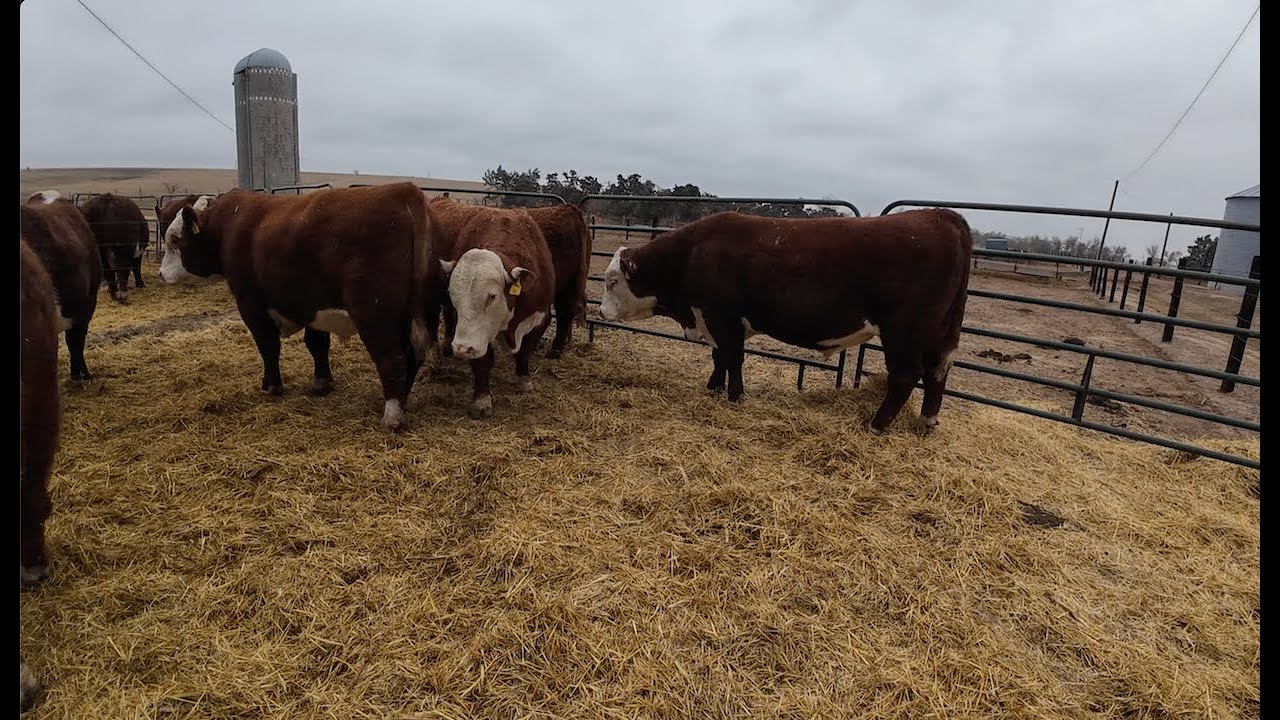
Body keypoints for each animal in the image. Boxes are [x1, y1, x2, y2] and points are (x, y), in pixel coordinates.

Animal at [158, 183, 441, 431]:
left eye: (175, 239)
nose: (161, 273)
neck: (228, 226)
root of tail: (403, 190)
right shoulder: (311, 304)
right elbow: (317, 344)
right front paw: (321, 382)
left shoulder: (250, 303)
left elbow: (268, 346)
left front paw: (271, 385)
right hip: (422, 312)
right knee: (413, 356)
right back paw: (402, 401)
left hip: (375, 315)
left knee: (391, 357)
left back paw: (392, 415)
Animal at [431, 203, 555, 419]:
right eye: (453, 294)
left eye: (492, 296)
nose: (461, 348)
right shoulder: (475, 334)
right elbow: (483, 361)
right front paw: (481, 400)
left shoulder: (540, 316)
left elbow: (525, 350)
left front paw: (524, 379)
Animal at [598, 209, 973, 435]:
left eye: (612, 280)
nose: (601, 312)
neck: (693, 253)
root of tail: (939, 214)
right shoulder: (716, 320)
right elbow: (720, 357)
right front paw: (714, 387)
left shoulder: (722, 317)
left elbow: (732, 358)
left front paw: (735, 396)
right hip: (940, 332)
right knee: (938, 371)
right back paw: (926, 421)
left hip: (904, 332)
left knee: (906, 376)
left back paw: (877, 424)